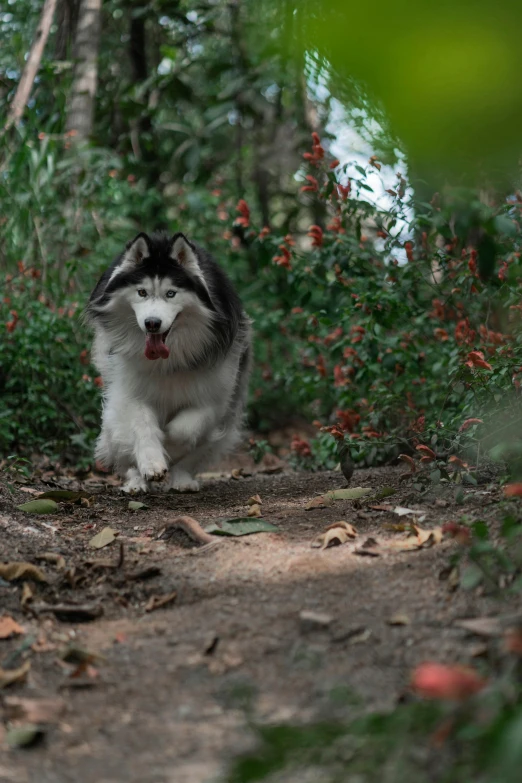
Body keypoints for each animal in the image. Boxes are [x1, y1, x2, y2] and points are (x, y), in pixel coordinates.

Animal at [85, 230, 250, 494]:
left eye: (171, 293)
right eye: (142, 292)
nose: (152, 323)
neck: (168, 360)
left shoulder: (214, 397)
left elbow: (184, 430)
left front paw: (169, 447)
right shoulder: (129, 390)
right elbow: (142, 425)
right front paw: (152, 463)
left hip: (220, 435)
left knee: (195, 454)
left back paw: (182, 480)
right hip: (113, 424)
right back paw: (136, 482)